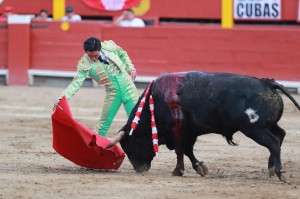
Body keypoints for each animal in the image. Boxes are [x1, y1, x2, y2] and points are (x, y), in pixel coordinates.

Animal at [106, 71, 298, 182]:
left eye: (129, 145)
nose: (140, 169)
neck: (156, 99)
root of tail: (267, 82)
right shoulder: (191, 131)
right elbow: (188, 150)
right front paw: (200, 167)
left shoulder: (178, 129)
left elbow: (180, 150)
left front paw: (177, 171)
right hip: (267, 126)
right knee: (280, 135)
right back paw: (271, 169)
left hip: (254, 129)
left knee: (273, 142)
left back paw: (280, 172)